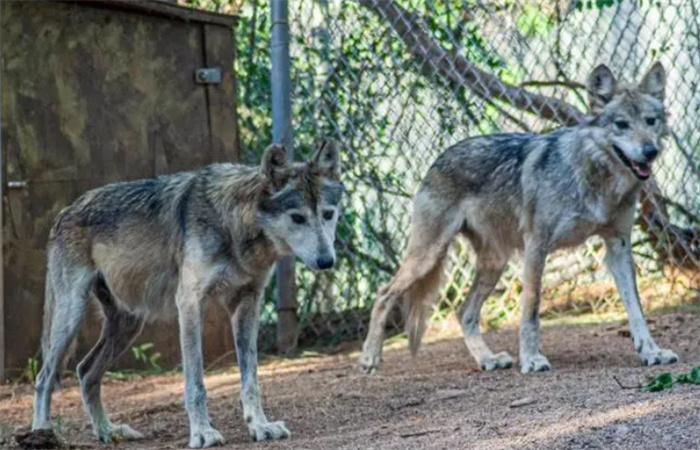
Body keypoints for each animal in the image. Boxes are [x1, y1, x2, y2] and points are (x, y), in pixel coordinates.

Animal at [32, 142, 344, 446]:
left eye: (328, 214)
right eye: (297, 218)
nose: (327, 261)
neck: (234, 223)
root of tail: (65, 211)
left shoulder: (246, 304)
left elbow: (251, 379)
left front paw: (260, 426)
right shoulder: (191, 303)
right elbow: (196, 384)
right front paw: (203, 433)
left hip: (128, 324)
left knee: (85, 372)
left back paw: (108, 432)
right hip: (70, 317)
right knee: (44, 377)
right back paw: (42, 434)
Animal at [358, 61, 676, 374]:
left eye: (650, 121)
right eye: (621, 124)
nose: (650, 151)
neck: (593, 176)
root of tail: (437, 159)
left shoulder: (618, 246)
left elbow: (636, 309)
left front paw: (651, 351)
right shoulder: (537, 245)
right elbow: (531, 310)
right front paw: (532, 359)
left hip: (494, 263)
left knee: (464, 312)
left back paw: (488, 360)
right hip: (428, 256)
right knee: (384, 293)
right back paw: (370, 358)